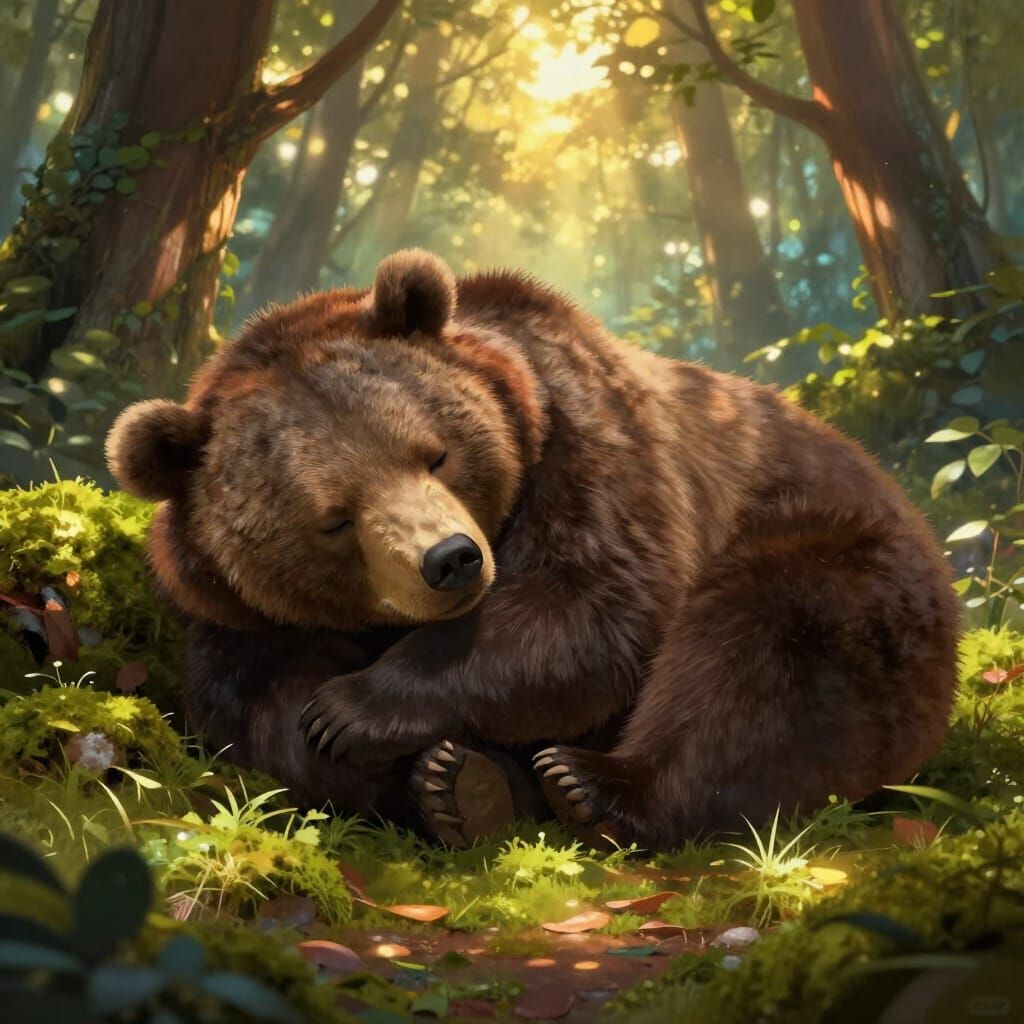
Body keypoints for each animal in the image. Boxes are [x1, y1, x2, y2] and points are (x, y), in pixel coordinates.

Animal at [105, 248, 959, 850]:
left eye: (436, 454)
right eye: (335, 518)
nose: (452, 559)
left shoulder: (584, 436)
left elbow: (589, 606)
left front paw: (358, 710)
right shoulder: (238, 615)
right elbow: (257, 712)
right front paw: (426, 777)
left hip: (838, 555)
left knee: (761, 653)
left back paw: (594, 783)